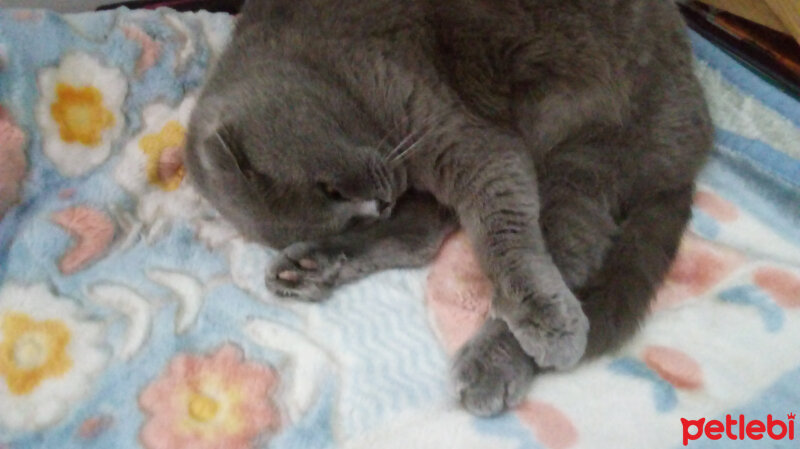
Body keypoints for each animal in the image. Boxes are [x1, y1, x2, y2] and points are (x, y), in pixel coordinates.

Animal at [186, 0, 712, 416]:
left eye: (329, 189)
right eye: (342, 206)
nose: (380, 204)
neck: (321, 64)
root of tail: (692, 146)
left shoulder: (464, 137)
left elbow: (505, 238)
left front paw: (541, 317)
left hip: (586, 151)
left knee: (564, 256)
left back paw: (503, 355)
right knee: (419, 238)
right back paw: (309, 267)